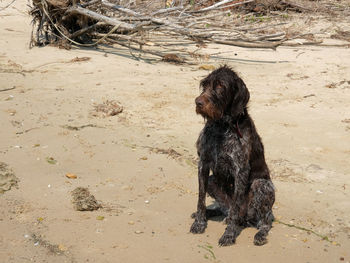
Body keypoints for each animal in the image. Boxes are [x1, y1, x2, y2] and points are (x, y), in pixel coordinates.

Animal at [190, 66, 274, 248]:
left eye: (220, 86)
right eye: (205, 85)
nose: (198, 102)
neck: (221, 126)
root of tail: (246, 219)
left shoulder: (240, 170)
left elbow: (236, 208)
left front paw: (229, 235)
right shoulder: (203, 164)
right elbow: (200, 199)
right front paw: (199, 222)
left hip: (261, 185)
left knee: (263, 221)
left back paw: (259, 234)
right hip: (212, 181)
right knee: (225, 210)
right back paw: (211, 214)